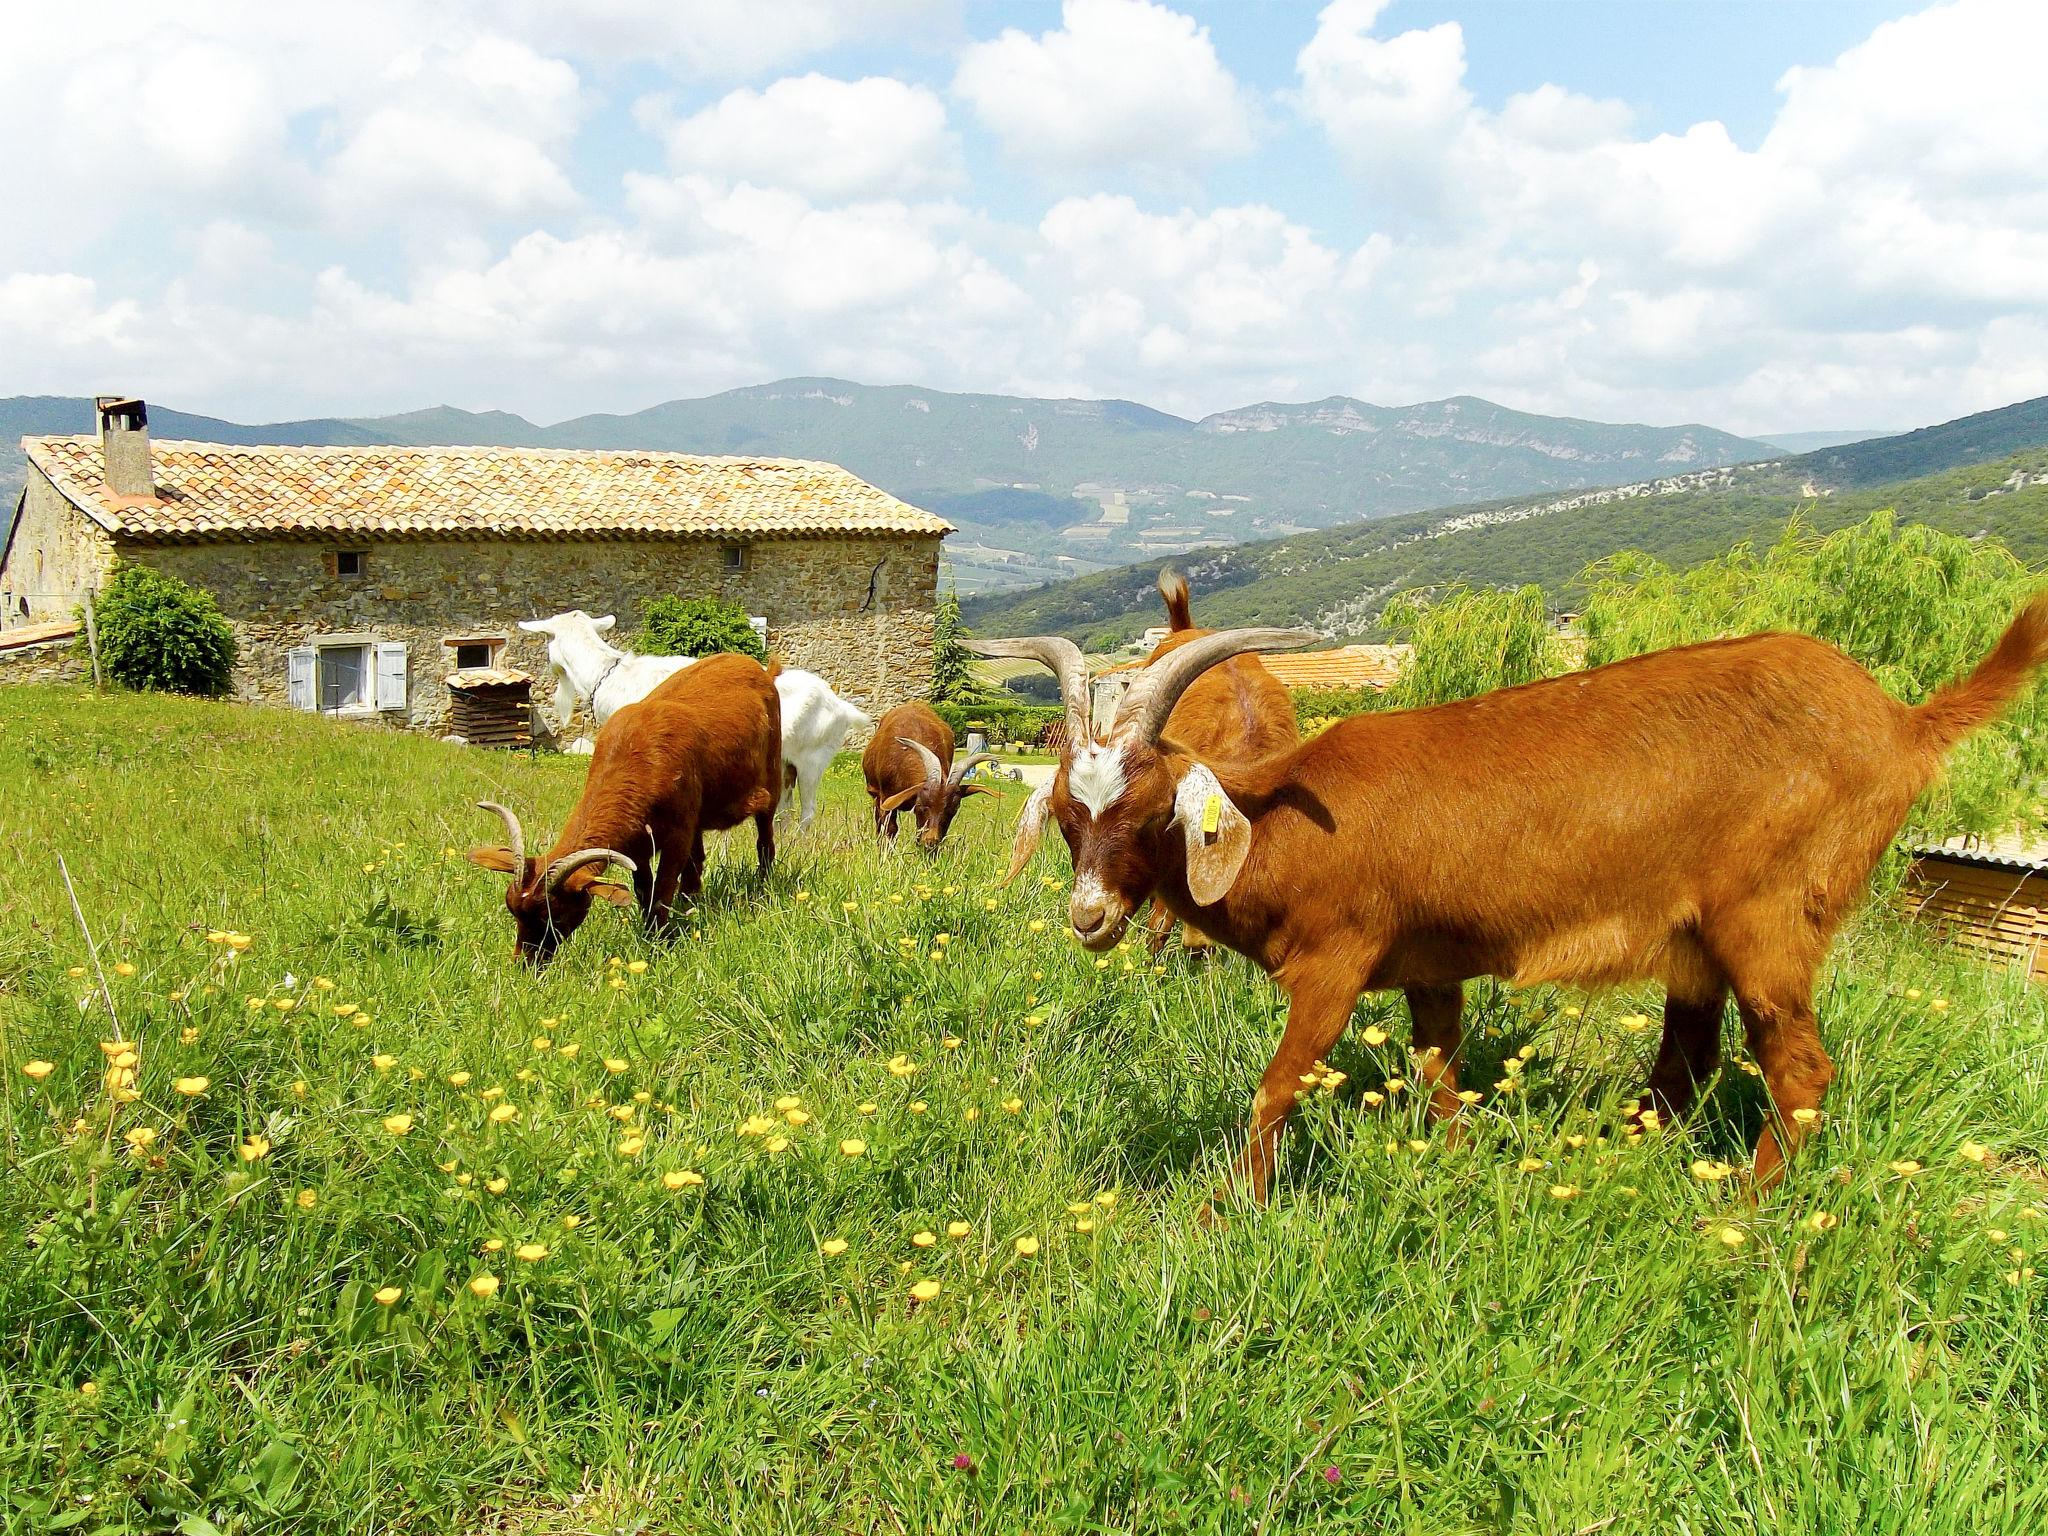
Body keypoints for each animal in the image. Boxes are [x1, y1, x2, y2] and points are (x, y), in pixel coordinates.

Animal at [468, 651, 778, 966]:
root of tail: (756, 666)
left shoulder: (677, 835)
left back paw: (763, 886)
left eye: (554, 915)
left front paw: (659, 941)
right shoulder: (637, 843)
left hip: (772, 776)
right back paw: (690, 904)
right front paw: (652, 932)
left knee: (765, 839)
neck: (638, 758)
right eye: (512, 907)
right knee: (697, 862)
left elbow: (662, 888)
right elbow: (644, 889)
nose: (527, 964)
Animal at [520, 610, 872, 835]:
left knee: (807, 813)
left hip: (813, 760)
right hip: (786, 763)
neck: (612, 676)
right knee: (784, 812)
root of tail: (840, 705)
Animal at [970, 602, 2048, 1212]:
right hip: (1697, 941)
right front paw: (1449, 1171)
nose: (1089, 918)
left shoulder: (1335, 963)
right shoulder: (1431, 969)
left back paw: (1745, 1211)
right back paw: (1613, 1169)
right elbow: (1436, 1073)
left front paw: (1226, 1213)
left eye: (1151, 808)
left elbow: (1276, 1087)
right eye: (1068, 812)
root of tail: (1903, 723)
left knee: (1801, 1069)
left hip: (1770, 919)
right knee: (1684, 1066)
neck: (1282, 825)